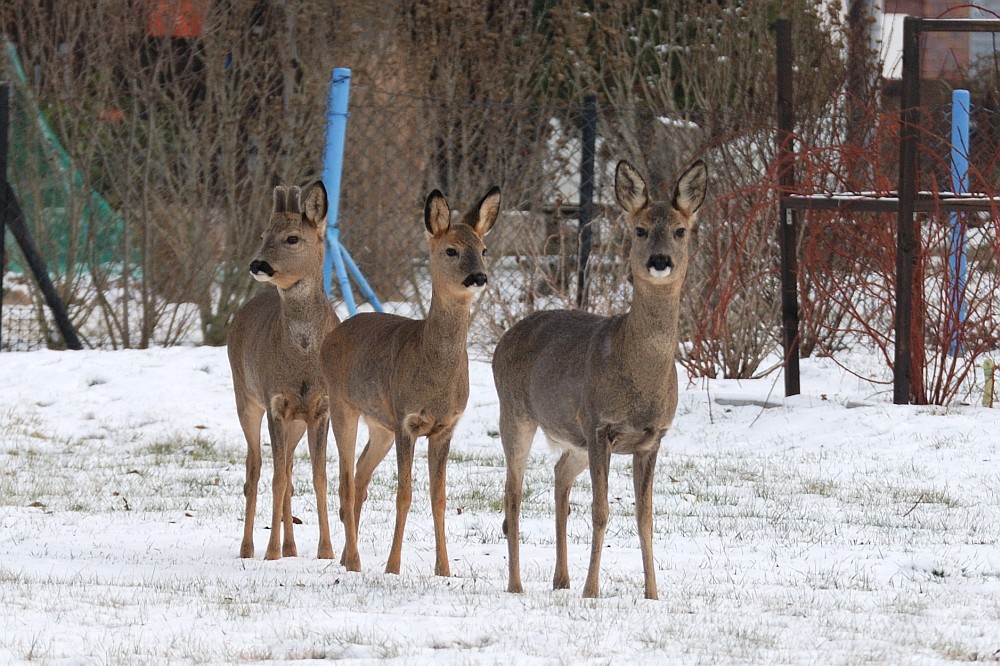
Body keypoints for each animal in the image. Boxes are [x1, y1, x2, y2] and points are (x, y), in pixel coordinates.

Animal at [225, 182, 338, 560]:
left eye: (292, 238)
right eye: (263, 234)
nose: (257, 263)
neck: (302, 358)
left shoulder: (320, 407)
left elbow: (318, 477)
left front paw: (326, 550)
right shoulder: (275, 401)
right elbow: (275, 479)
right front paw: (271, 552)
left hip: (296, 423)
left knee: (287, 469)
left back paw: (291, 547)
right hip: (245, 397)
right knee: (255, 470)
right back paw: (248, 548)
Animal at [320, 184, 500, 572]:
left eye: (484, 249)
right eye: (451, 249)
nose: (479, 277)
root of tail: (332, 334)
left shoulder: (445, 427)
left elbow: (439, 497)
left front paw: (444, 570)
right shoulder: (407, 420)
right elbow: (404, 494)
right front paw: (392, 567)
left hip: (380, 426)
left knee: (360, 476)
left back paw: (346, 557)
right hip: (342, 406)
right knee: (344, 480)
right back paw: (353, 560)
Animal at [492, 158, 712, 600]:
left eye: (680, 230)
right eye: (640, 229)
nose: (660, 260)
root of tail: (502, 340)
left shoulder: (651, 438)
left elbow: (646, 518)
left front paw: (653, 594)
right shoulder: (600, 426)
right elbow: (601, 511)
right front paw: (592, 590)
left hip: (573, 438)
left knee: (559, 475)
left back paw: (561, 579)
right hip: (516, 414)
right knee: (513, 494)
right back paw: (517, 584)